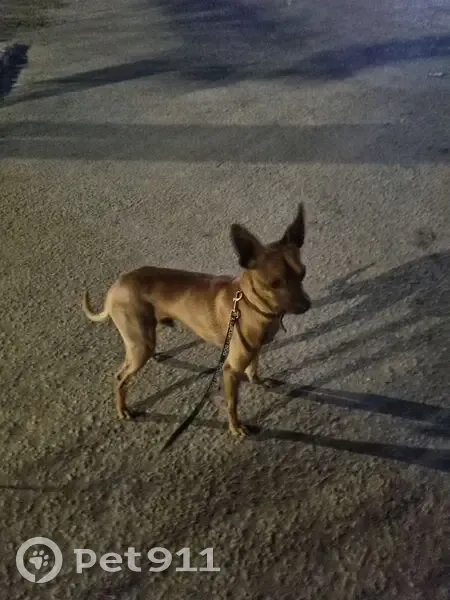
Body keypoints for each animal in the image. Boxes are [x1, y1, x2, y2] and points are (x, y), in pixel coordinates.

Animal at [82, 203, 311, 437]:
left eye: (303, 274)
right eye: (274, 283)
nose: (306, 305)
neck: (250, 302)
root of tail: (115, 287)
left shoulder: (255, 350)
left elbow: (253, 368)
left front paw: (259, 381)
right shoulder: (230, 370)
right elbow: (232, 404)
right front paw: (235, 427)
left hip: (144, 336)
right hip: (138, 345)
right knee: (120, 378)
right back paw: (123, 410)